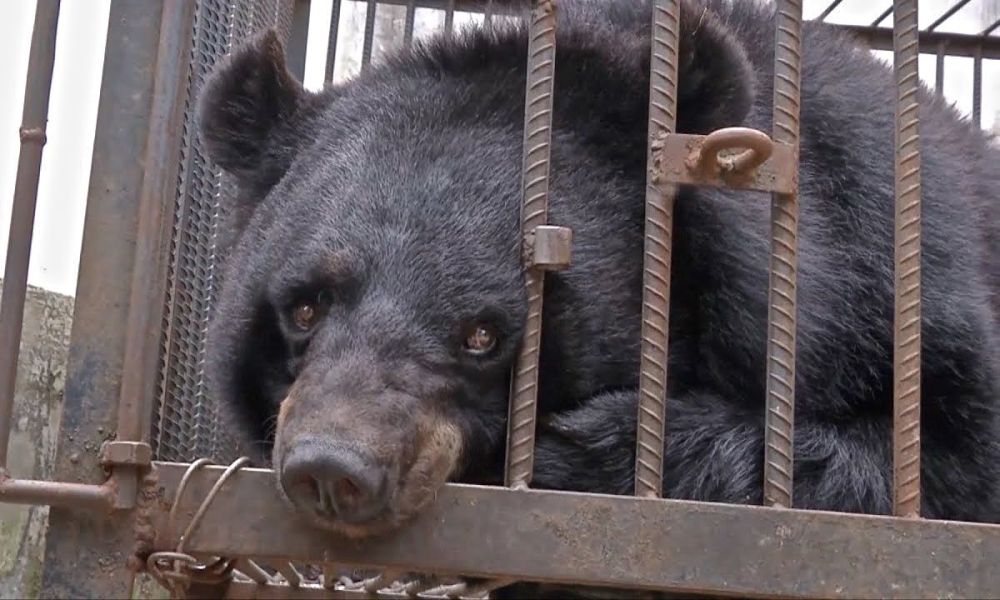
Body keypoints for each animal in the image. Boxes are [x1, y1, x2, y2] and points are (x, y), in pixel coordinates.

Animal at [197, 0, 1000, 548]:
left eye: (484, 334)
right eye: (304, 308)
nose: (333, 470)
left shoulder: (881, 273)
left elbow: (949, 459)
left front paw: (587, 450)